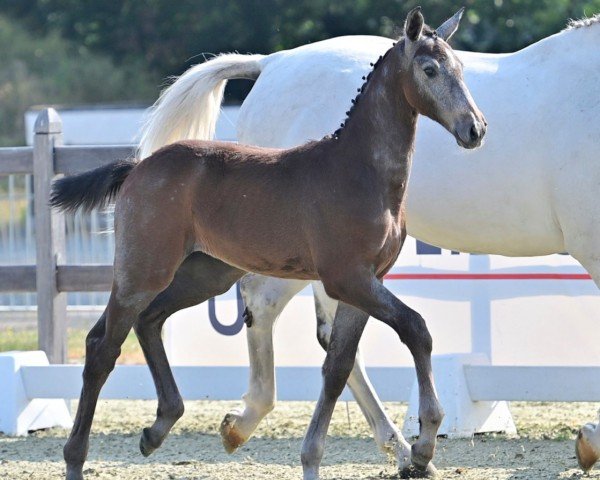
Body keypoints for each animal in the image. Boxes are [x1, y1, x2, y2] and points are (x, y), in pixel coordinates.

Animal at [50, 8, 482, 480]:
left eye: (461, 69)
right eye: (429, 69)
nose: (475, 128)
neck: (360, 171)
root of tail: (136, 168)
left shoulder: (366, 282)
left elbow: (338, 364)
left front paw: (316, 458)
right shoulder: (347, 278)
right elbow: (415, 328)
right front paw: (424, 443)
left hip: (204, 274)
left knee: (148, 321)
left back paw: (158, 428)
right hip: (143, 271)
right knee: (102, 346)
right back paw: (75, 459)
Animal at [138, 14, 600, 472]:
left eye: (461, 69)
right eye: (429, 70)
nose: (476, 129)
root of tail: (271, 62)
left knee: (328, 344)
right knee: (266, 304)